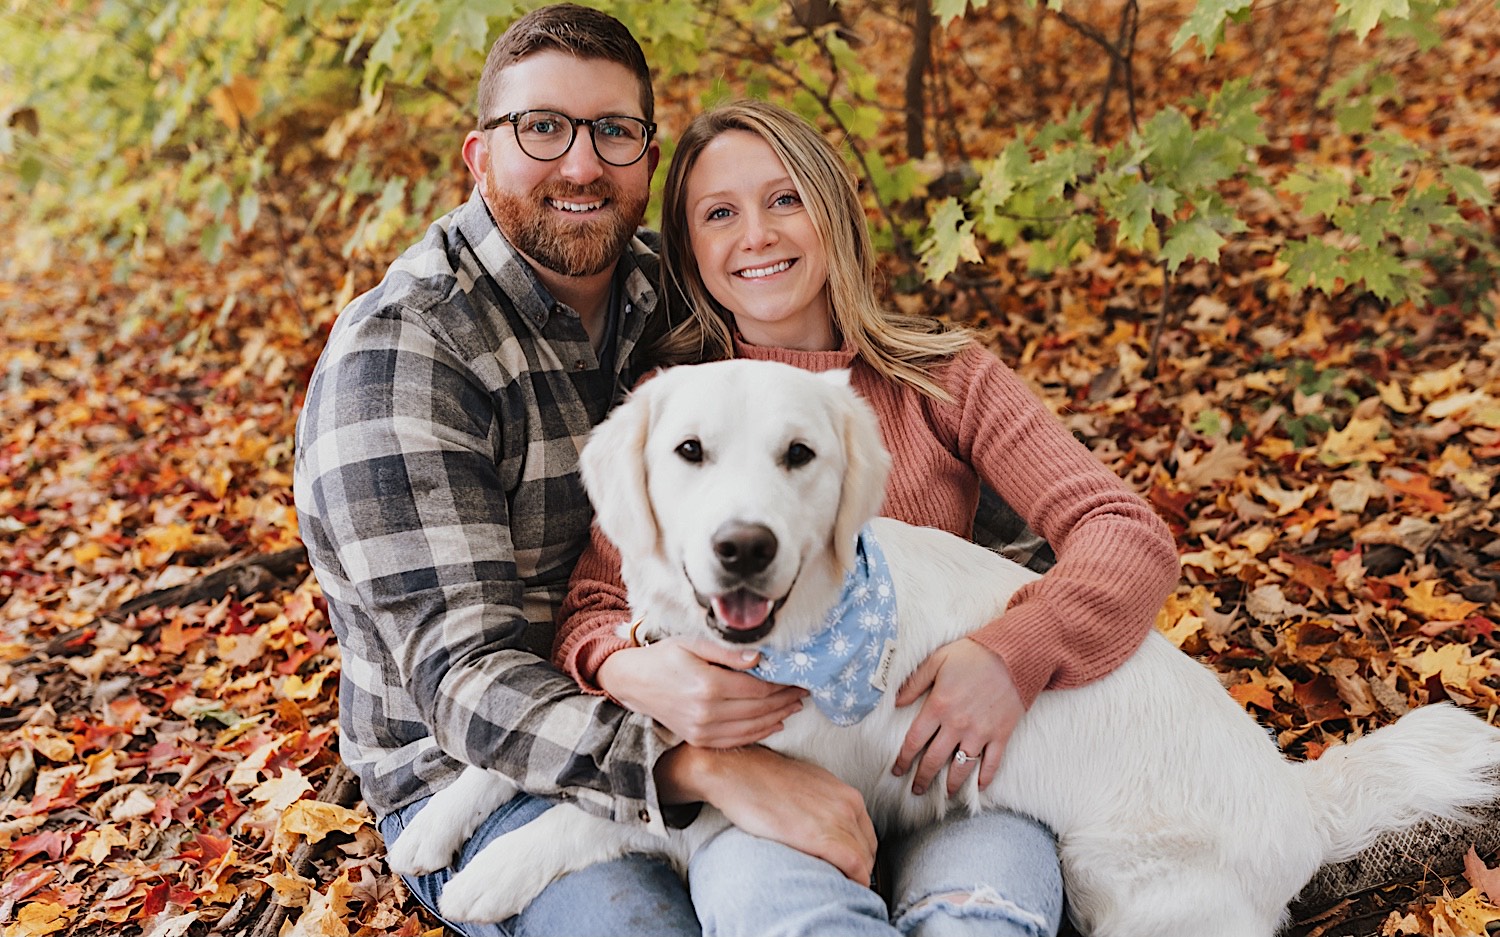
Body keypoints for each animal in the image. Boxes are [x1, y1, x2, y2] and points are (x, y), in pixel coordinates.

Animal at [387, 359, 1500, 935]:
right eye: (688, 450)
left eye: (799, 454)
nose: (743, 547)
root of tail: (1297, 793)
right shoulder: (657, 686)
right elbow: (561, 743)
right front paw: (435, 826)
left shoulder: (754, 797)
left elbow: (601, 813)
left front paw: (498, 868)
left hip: (1120, 883)